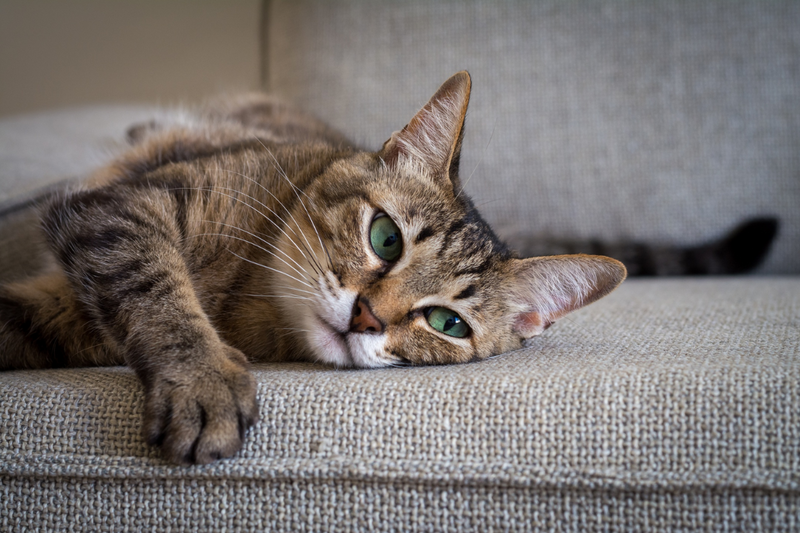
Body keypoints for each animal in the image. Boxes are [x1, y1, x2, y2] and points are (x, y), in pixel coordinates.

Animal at [0, 71, 776, 466]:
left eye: (446, 323)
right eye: (385, 237)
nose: (367, 316)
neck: (244, 299)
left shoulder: (65, 305)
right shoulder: (124, 206)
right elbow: (156, 286)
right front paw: (202, 379)